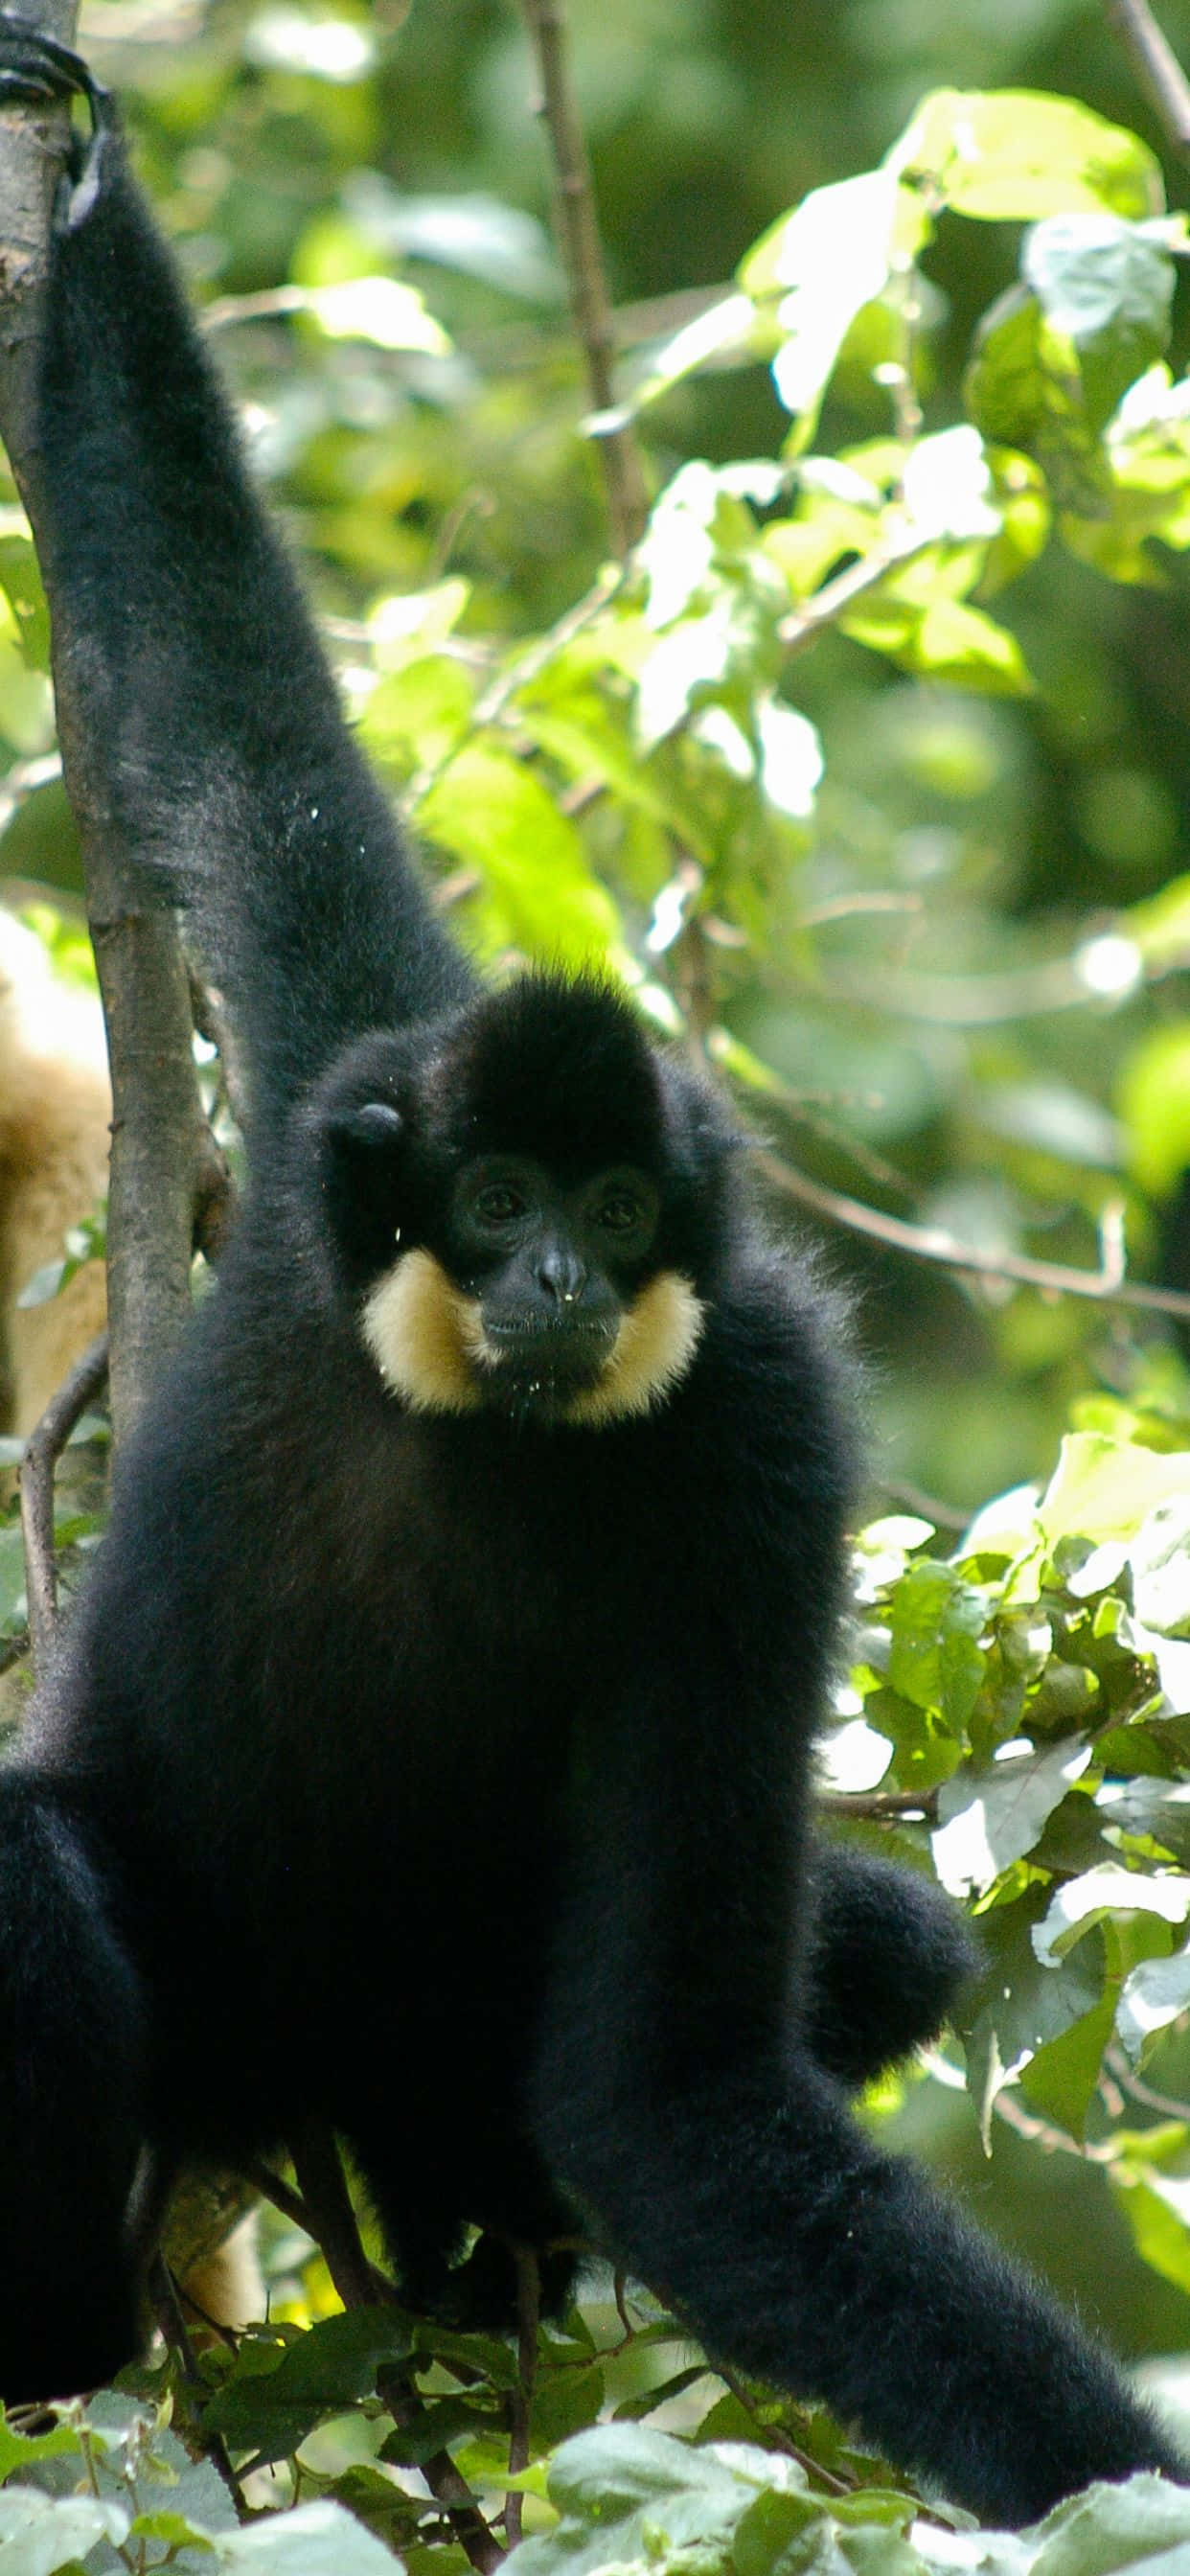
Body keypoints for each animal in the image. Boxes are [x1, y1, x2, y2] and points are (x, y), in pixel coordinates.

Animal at [0, 21, 1181, 2526]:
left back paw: (477, 2258)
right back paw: (62, 2325)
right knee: (40, 1877)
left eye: (624, 1216)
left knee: (868, 1947)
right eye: (500, 1194)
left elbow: (680, 2095)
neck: (465, 1415)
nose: (553, 1276)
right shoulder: (349, 1102)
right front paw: (83, 180)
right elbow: (214, 710)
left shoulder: (761, 1439)